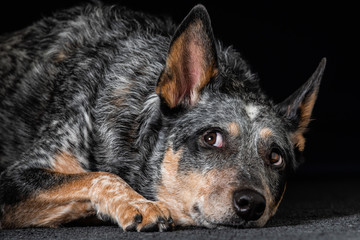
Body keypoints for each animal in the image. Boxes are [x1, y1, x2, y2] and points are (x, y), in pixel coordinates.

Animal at [0, 1, 326, 231]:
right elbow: (99, 176)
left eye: (276, 157)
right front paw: (139, 204)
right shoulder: (13, 179)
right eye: (211, 138)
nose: (252, 203)